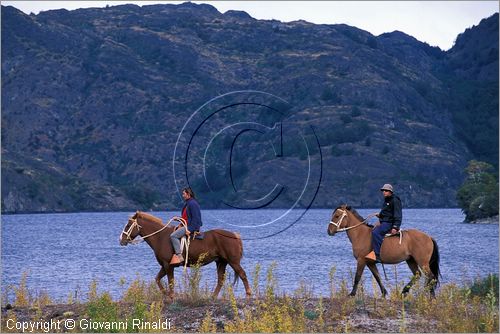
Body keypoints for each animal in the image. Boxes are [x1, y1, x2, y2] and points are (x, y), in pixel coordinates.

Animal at [119, 210, 252, 298]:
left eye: (128, 225)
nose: (121, 240)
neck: (160, 237)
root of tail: (235, 235)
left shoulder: (168, 265)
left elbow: (170, 281)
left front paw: (171, 296)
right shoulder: (164, 265)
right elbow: (157, 279)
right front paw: (165, 294)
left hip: (233, 261)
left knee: (242, 274)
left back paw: (248, 294)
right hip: (221, 262)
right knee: (221, 280)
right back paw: (213, 297)